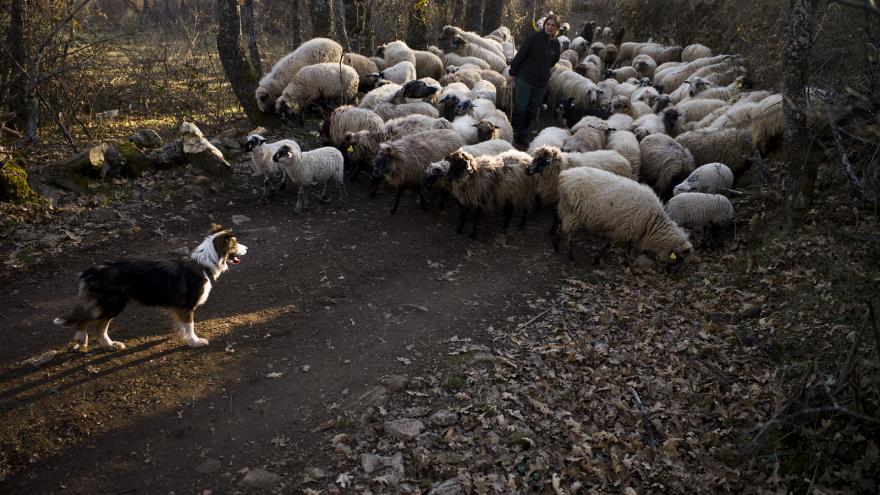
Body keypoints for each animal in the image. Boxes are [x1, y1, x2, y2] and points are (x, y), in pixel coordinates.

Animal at [53, 227, 248, 350]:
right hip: (111, 305)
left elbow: (182, 327)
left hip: (111, 305)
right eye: (235, 244)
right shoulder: (186, 308)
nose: (247, 248)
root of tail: (89, 272)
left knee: (98, 326)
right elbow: (190, 326)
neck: (203, 264)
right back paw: (84, 338)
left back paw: (108, 345)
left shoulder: (178, 309)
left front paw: (184, 337)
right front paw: (194, 342)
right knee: (88, 321)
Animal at [556, 166, 696, 268]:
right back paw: (570, 255)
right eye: (680, 258)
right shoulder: (622, 229)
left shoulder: (633, 230)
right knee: (567, 232)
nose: (671, 272)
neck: (652, 221)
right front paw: (597, 259)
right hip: (572, 211)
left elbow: (629, 246)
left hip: (566, 206)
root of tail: (564, 175)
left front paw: (628, 259)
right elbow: (609, 245)